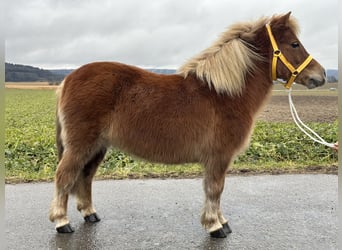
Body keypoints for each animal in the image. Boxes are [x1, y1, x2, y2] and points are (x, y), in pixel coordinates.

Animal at [48, 12, 326, 238]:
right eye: (294, 44)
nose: (321, 75)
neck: (222, 94)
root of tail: (68, 79)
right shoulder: (218, 157)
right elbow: (215, 189)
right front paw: (215, 226)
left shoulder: (217, 159)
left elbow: (216, 190)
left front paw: (222, 222)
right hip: (81, 146)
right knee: (64, 176)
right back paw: (62, 222)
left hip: (97, 147)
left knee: (85, 177)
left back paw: (89, 213)